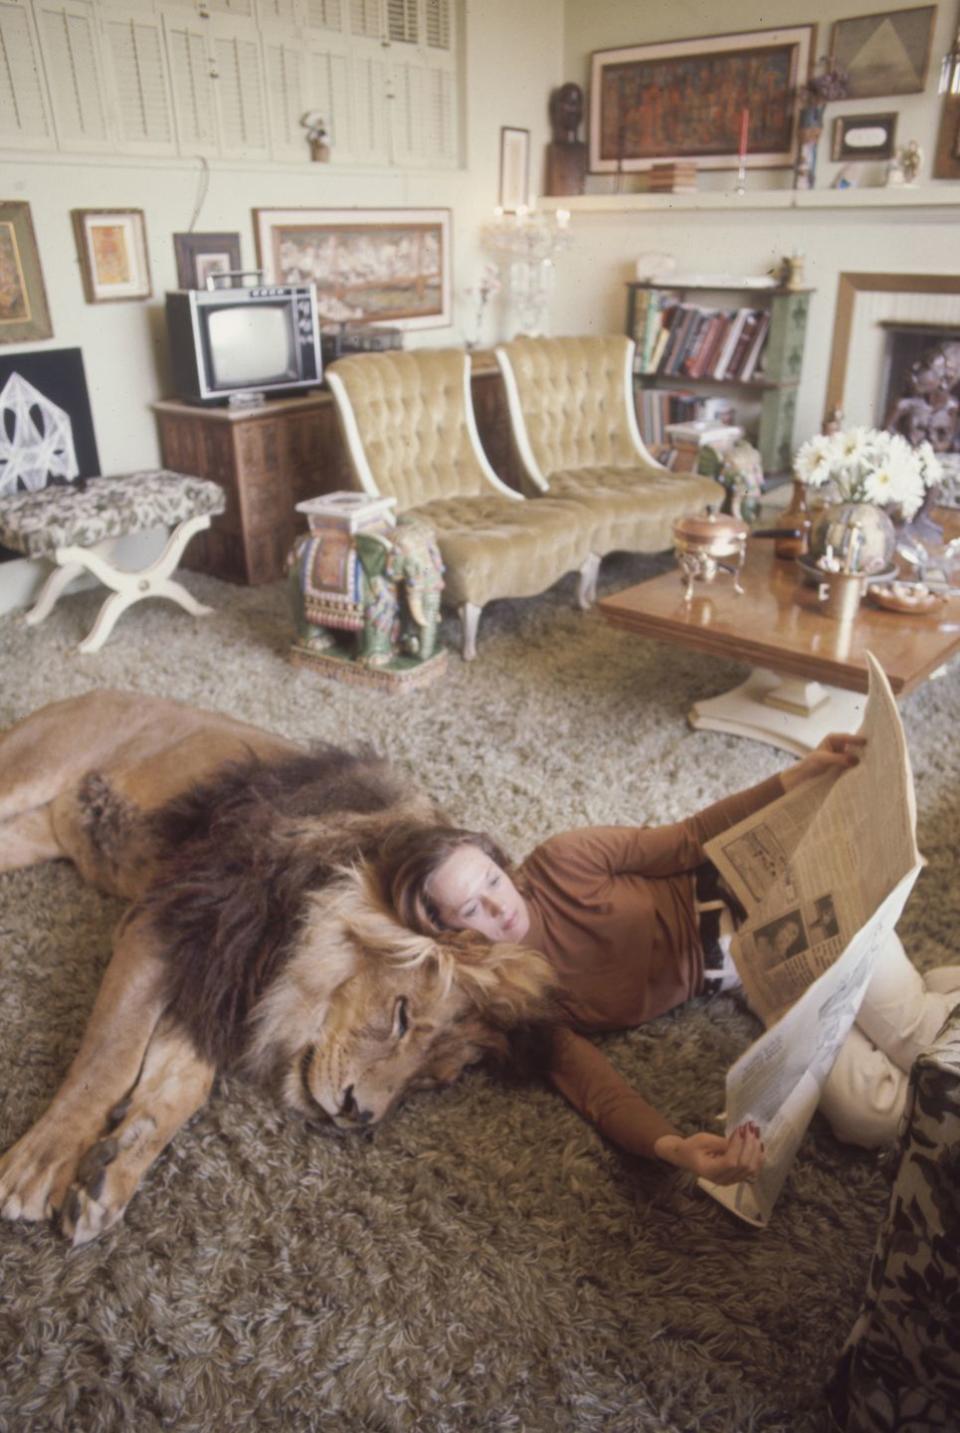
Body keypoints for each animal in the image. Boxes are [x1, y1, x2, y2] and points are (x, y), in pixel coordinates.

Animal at [0, 690, 555, 1243]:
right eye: (400, 1017)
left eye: (431, 1082)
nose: (358, 1114)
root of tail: (97, 692)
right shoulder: (166, 924)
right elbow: (110, 1057)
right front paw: (42, 1164)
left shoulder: (217, 985)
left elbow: (180, 1087)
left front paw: (108, 1174)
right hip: (31, 768)